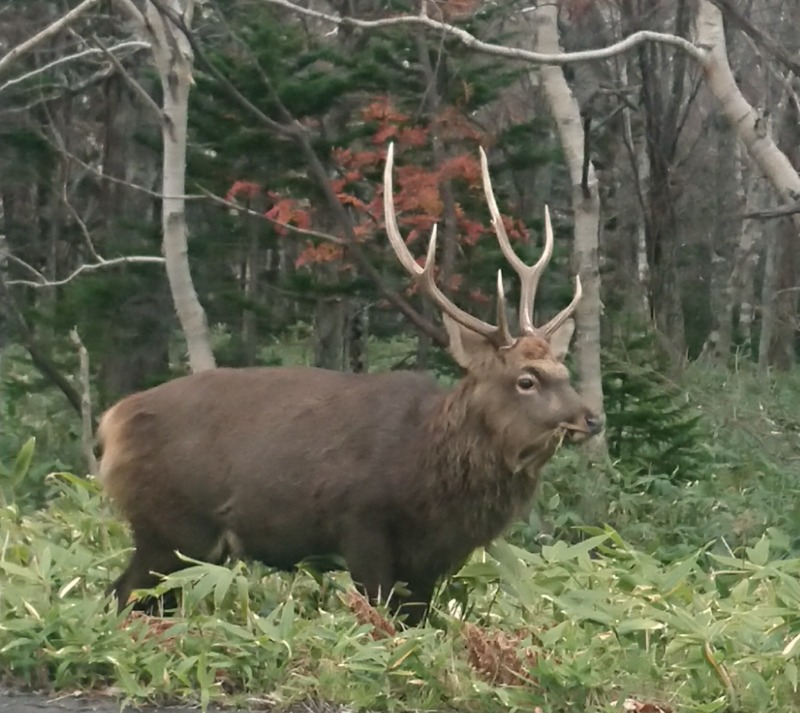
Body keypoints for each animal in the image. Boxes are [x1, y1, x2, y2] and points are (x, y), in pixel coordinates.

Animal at [97, 143, 600, 624]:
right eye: (526, 380)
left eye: (564, 372)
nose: (591, 419)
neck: (428, 476)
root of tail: (112, 420)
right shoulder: (359, 524)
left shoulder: (430, 561)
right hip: (171, 524)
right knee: (123, 593)